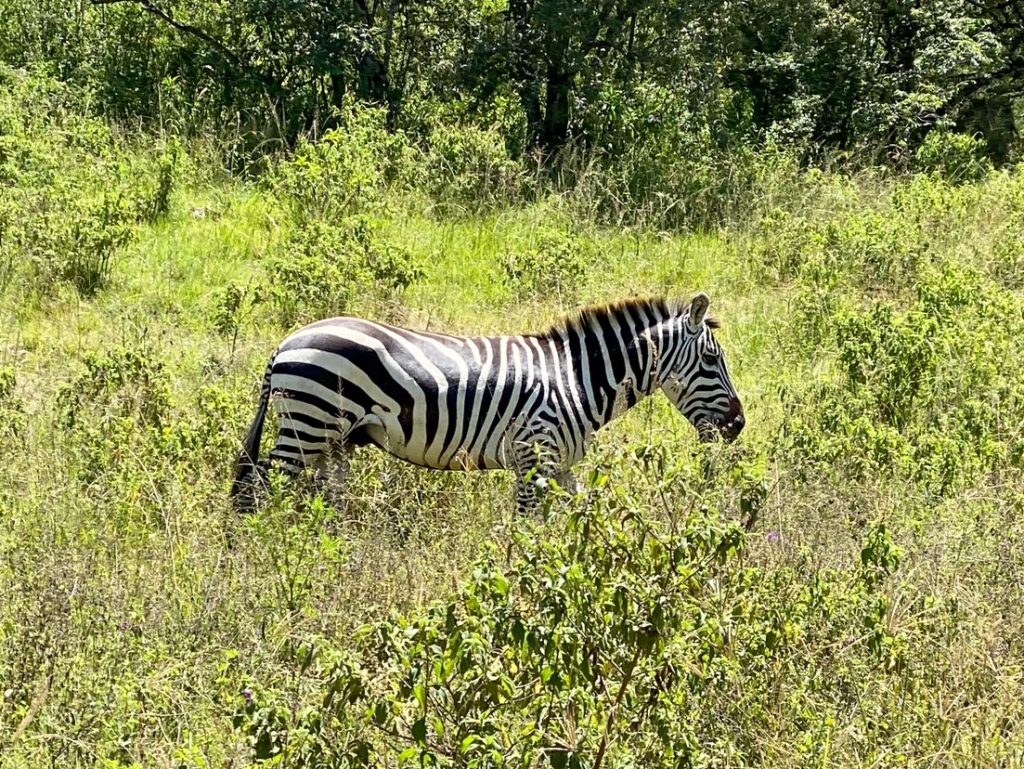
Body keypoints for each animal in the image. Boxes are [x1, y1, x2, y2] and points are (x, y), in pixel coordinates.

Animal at [230, 293, 744, 513]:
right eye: (712, 359)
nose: (738, 425)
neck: (575, 379)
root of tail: (286, 342)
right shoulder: (534, 458)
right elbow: (527, 527)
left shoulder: (561, 464)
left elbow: (580, 516)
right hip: (307, 423)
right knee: (260, 485)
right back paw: (268, 545)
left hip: (330, 437)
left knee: (319, 495)